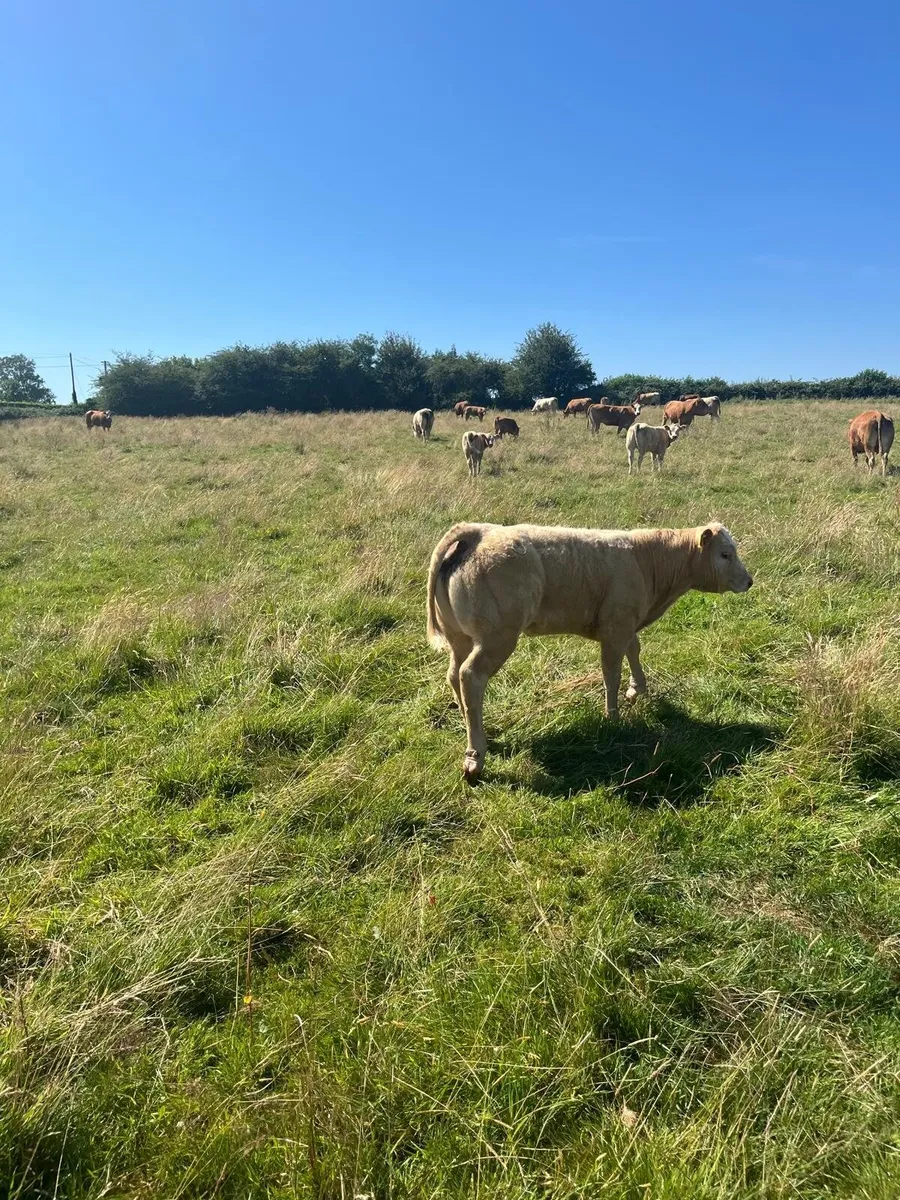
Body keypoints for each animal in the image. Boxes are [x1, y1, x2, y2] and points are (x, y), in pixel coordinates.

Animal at [427, 520, 753, 780]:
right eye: (725, 554)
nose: (749, 581)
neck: (646, 560)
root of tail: (481, 531)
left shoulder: (625, 624)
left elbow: (634, 650)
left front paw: (637, 689)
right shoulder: (616, 627)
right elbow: (611, 673)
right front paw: (613, 717)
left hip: (461, 638)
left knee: (454, 676)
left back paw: (476, 730)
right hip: (497, 638)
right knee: (471, 677)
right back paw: (476, 756)